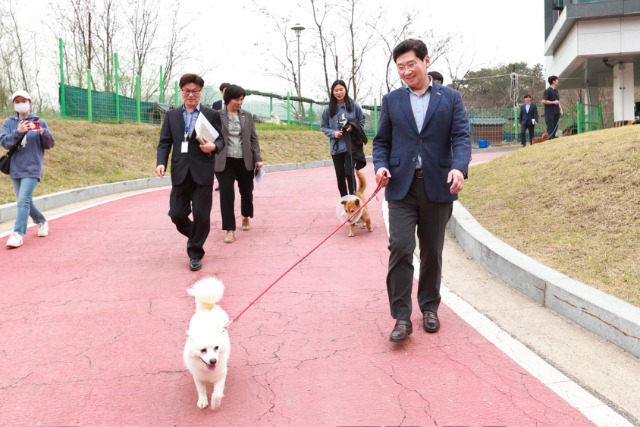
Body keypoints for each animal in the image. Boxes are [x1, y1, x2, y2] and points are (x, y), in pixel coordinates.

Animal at [184, 278, 231, 412]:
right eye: (203, 350)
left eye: (216, 348)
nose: (213, 361)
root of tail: (208, 306)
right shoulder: (197, 376)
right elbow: (201, 390)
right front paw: (202, 401)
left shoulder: (221, 375)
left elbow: (217, 394)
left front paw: (215, 405)